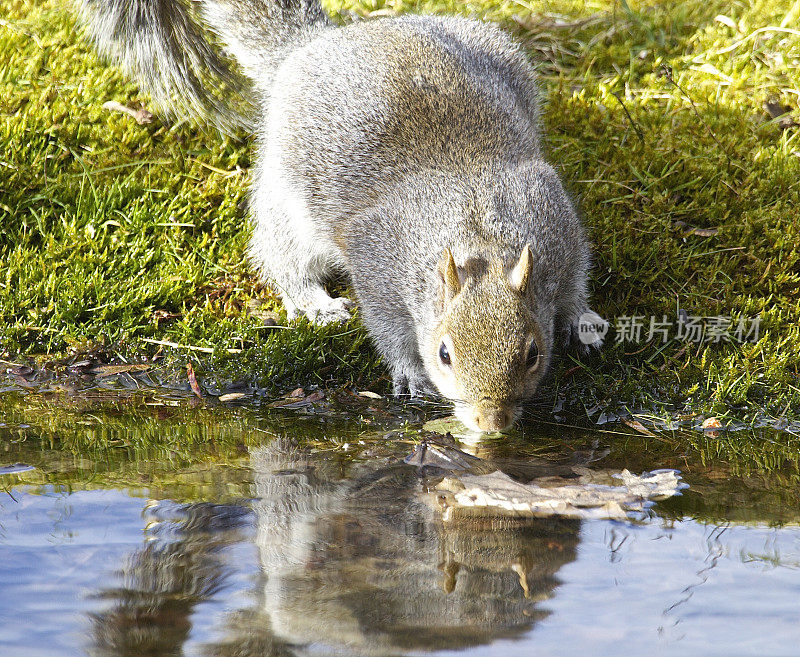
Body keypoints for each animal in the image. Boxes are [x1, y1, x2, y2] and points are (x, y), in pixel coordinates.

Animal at [78, 0, 608, 430]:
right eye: (444, 354)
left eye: (533, 353)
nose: (490, 423)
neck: (477, 234)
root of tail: (315, 44)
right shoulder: (377, 264)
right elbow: (386, 327)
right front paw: (410, 373)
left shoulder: (554, 219)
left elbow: (574, 281)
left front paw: (581, 321)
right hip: (289, 200)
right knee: (280, 255)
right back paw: (313, 302)